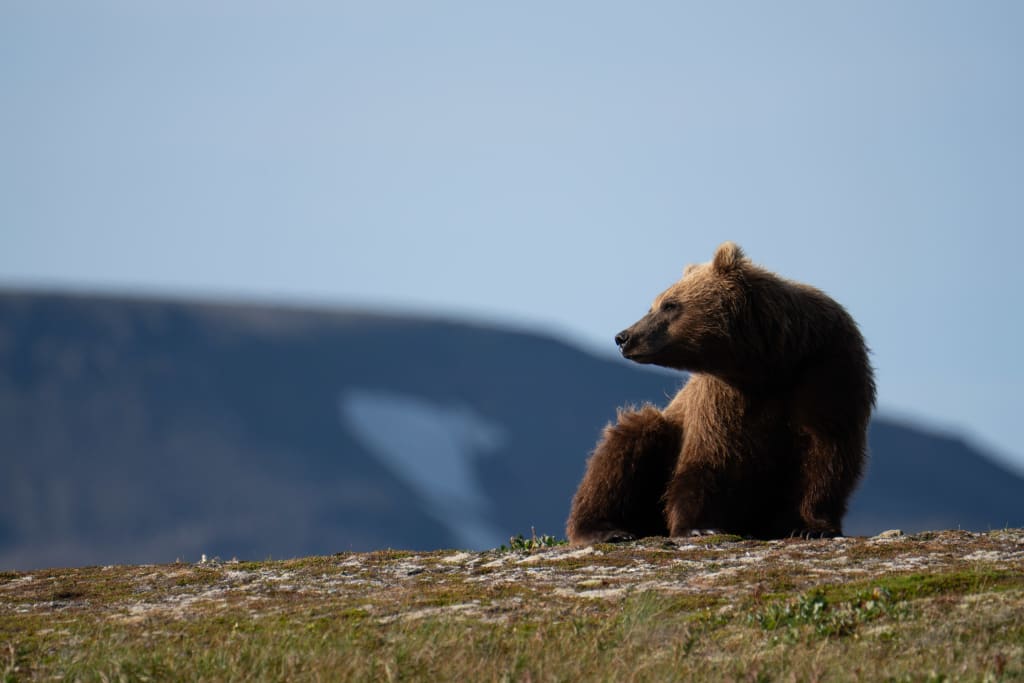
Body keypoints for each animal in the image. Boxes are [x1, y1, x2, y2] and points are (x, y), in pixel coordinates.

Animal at [566, 242, 875, 544]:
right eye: (655, 304)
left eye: (669, 304)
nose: (624, 337)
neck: (769, 363)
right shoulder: (722, 396)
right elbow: (712, 454)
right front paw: (699, 527)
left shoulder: (825, 368)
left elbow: (825, 452)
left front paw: (811, 526)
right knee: (628, 441)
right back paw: (605, 529)